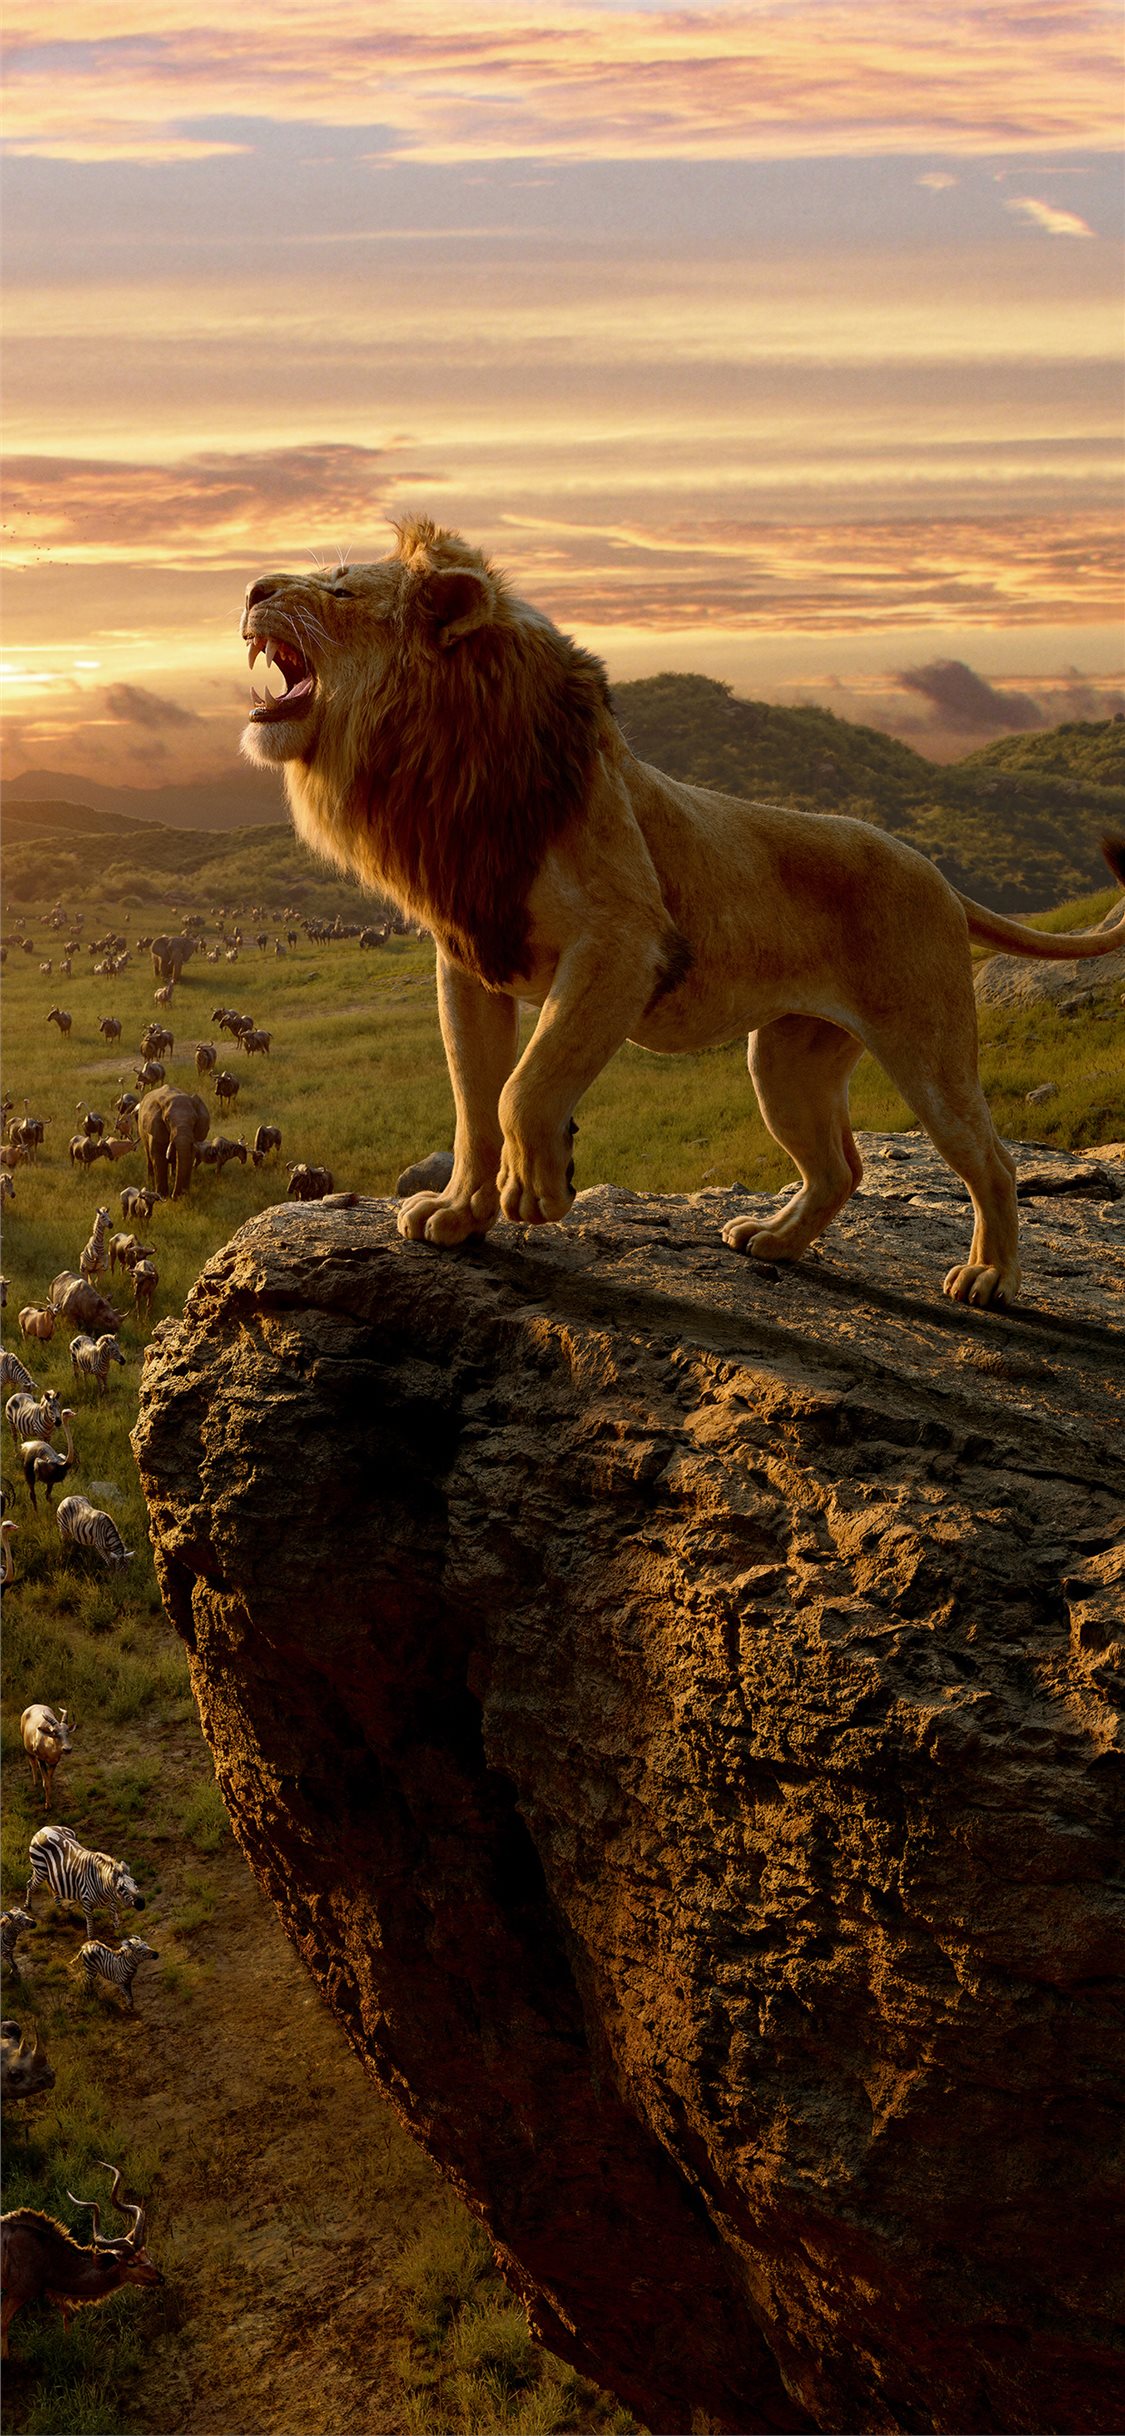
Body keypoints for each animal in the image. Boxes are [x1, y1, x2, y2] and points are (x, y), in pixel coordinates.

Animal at [241, 519, 1125, 1307]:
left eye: (338, 588)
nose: (251, 589)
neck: (442, 770)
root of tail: (935, 873)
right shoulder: (469, 959)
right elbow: (472, 1103)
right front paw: (459, 1215)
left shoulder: (623, 943)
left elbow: (524, 1085)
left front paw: (540, 1188)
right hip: (787, 1062)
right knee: (839, 1167)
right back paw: (772, 1240)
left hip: (927, 1050)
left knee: (990, 1161)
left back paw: (988, 1279)